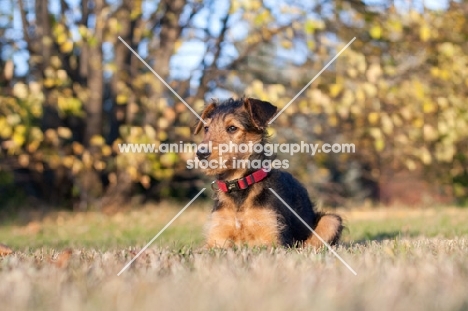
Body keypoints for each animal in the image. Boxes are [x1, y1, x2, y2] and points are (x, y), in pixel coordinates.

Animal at [194, 97, 344, 249]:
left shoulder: (273, 239)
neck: (239, 184)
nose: (200, 154)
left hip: (331, 220)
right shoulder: (216, 239)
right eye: (206, 128)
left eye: (232, 128)